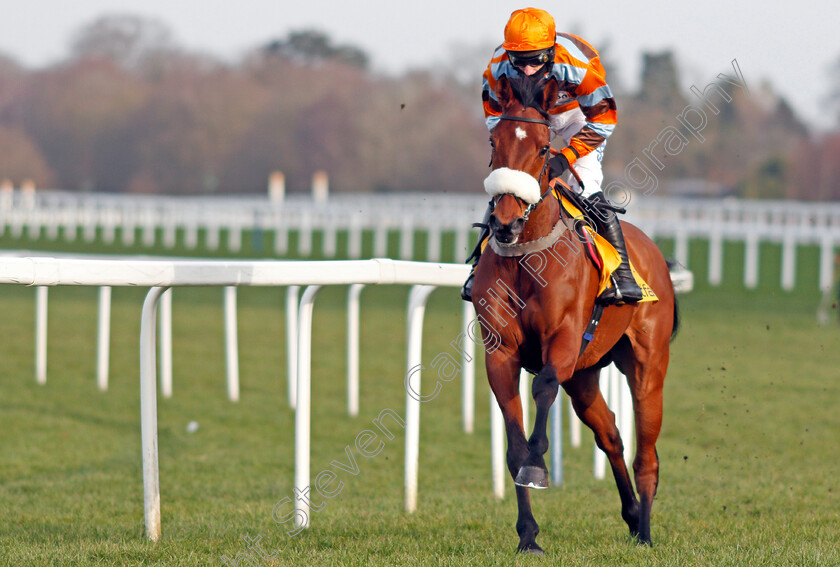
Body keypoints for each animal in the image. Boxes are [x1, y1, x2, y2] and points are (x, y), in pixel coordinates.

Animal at [476, 75, 680, 556]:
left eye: (542, 148)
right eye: (493, 142)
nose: (506, 224)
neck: (526, 258)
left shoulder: (564, 341)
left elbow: (543, 387)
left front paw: (538, 464)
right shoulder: (500, 353)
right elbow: (513, 445)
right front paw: (528, 535)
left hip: (647, 367)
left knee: (647, 454)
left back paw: (645, 530)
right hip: (586, 376)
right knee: (611, 436)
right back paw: (631, 516)